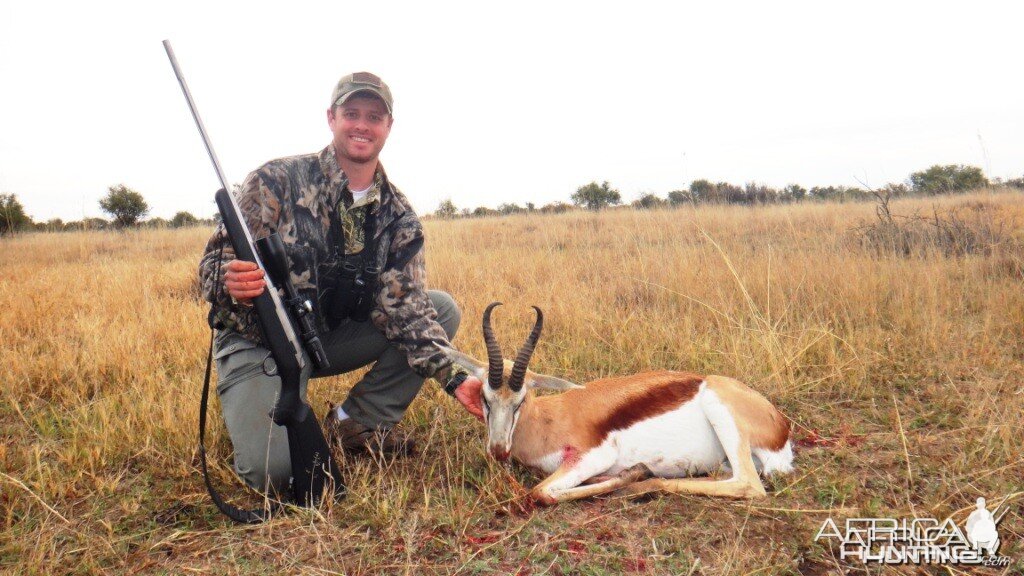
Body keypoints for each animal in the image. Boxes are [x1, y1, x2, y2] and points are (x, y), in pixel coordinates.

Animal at [442, 301, 790, 502]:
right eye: (485, 398)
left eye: (520, 400)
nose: (499, 450)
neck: (548, 419)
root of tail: (781, 426)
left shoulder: (593, 455)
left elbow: (541, 493)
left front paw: (630, 474)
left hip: (722, 415)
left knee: (749, 485)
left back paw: (639, 482)